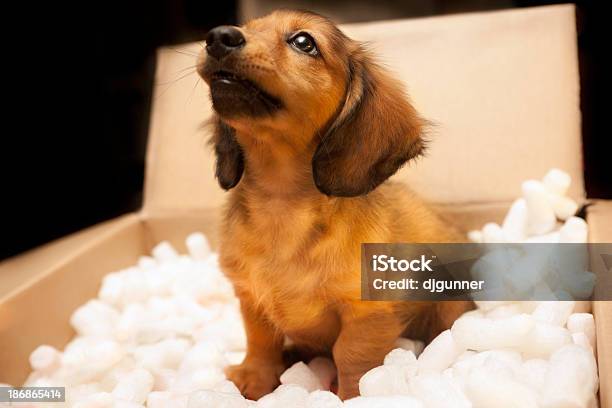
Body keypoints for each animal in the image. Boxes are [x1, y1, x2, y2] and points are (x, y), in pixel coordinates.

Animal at [198, 10, 470, 402]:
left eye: (304, 42)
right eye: (248, 26)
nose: (218, 37)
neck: (283, 206)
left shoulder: (365, 315)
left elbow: (351, 356)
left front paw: (352, 396)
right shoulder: (250, 298)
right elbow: (261, 342)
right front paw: (254, 380)